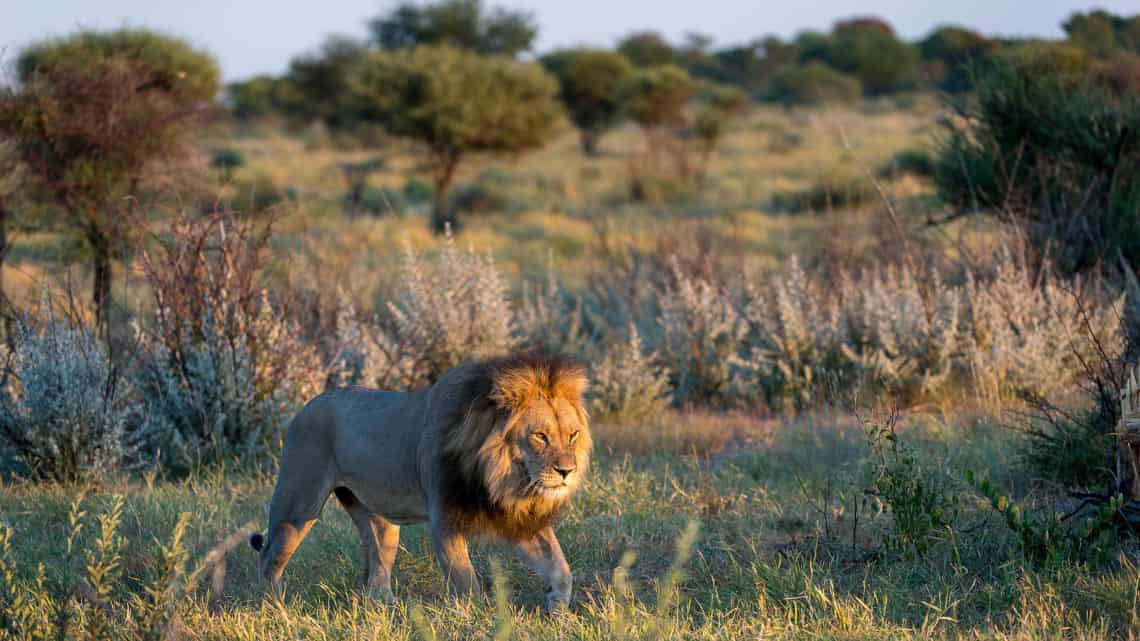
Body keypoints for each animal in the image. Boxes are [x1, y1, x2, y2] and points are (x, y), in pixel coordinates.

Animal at [246, 351, 592, 606]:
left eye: (572, 435)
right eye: (540, 436)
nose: (567, 471)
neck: (500, 477)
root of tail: (306, 405)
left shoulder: (514, 516)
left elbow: (560, 567)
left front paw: (557, 608)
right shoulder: (445, 517)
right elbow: (465, 579)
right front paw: (477, 617)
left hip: (377, 519)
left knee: (377, 565)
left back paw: (386, 607)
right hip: (298, 504)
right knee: (269, 556)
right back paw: (274, 608)